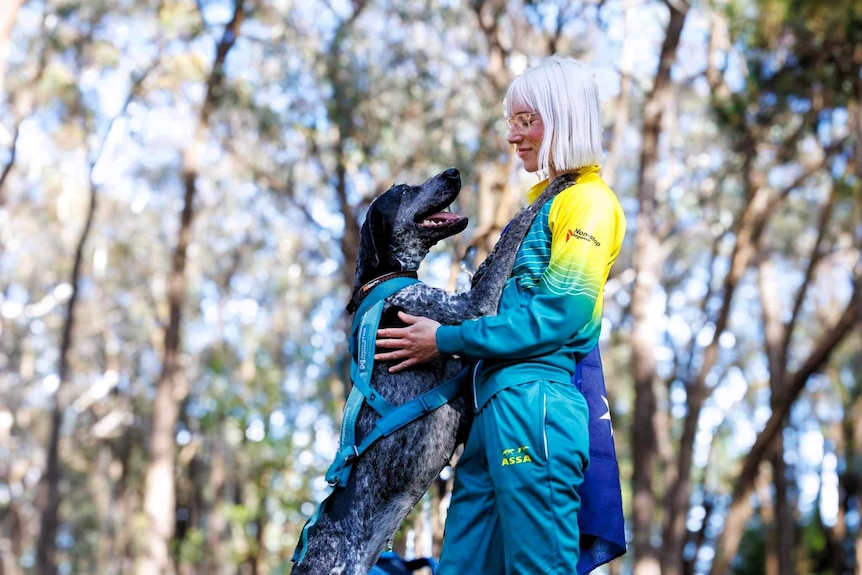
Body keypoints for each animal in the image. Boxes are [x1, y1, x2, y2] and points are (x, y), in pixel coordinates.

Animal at [294, 168, 572, 575]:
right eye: (405, 191)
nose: (453, 172)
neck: (382, 281)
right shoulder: (471, 307)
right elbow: (516, 229)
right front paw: (554, 187)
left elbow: (492, 257)